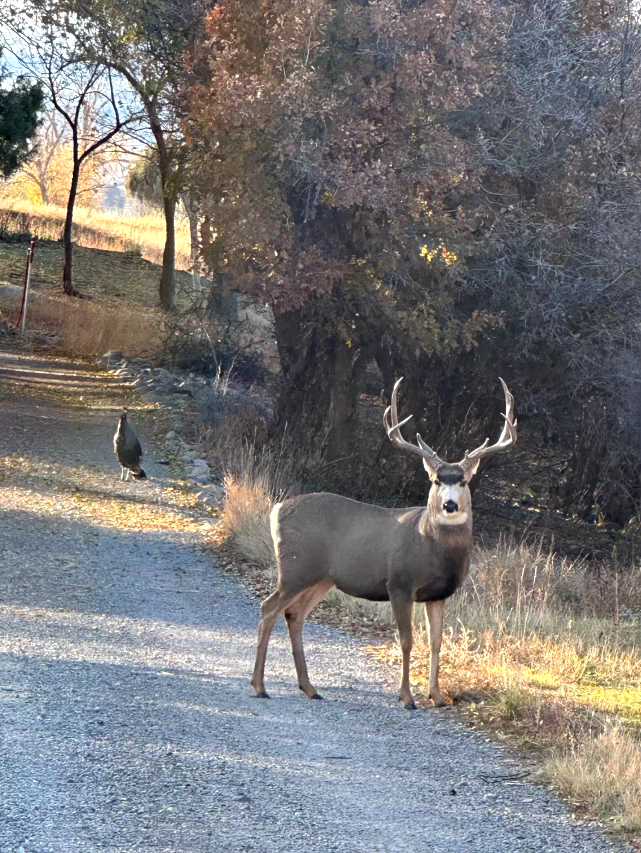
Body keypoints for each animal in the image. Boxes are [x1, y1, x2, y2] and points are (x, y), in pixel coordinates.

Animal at [251, 377, 517, 709]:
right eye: (436, 481)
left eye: (464, 481)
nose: (450, 505)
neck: (430, 546)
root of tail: (276, 510)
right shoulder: (399, 583)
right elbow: (406, 640)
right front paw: (407, 697)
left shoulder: (438, 594)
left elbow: (436, 642)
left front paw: (437, 696)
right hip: (296, 567)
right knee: (269, 607)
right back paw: (259, 685)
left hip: (322, 578)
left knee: (293, 613)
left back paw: (310, 688)